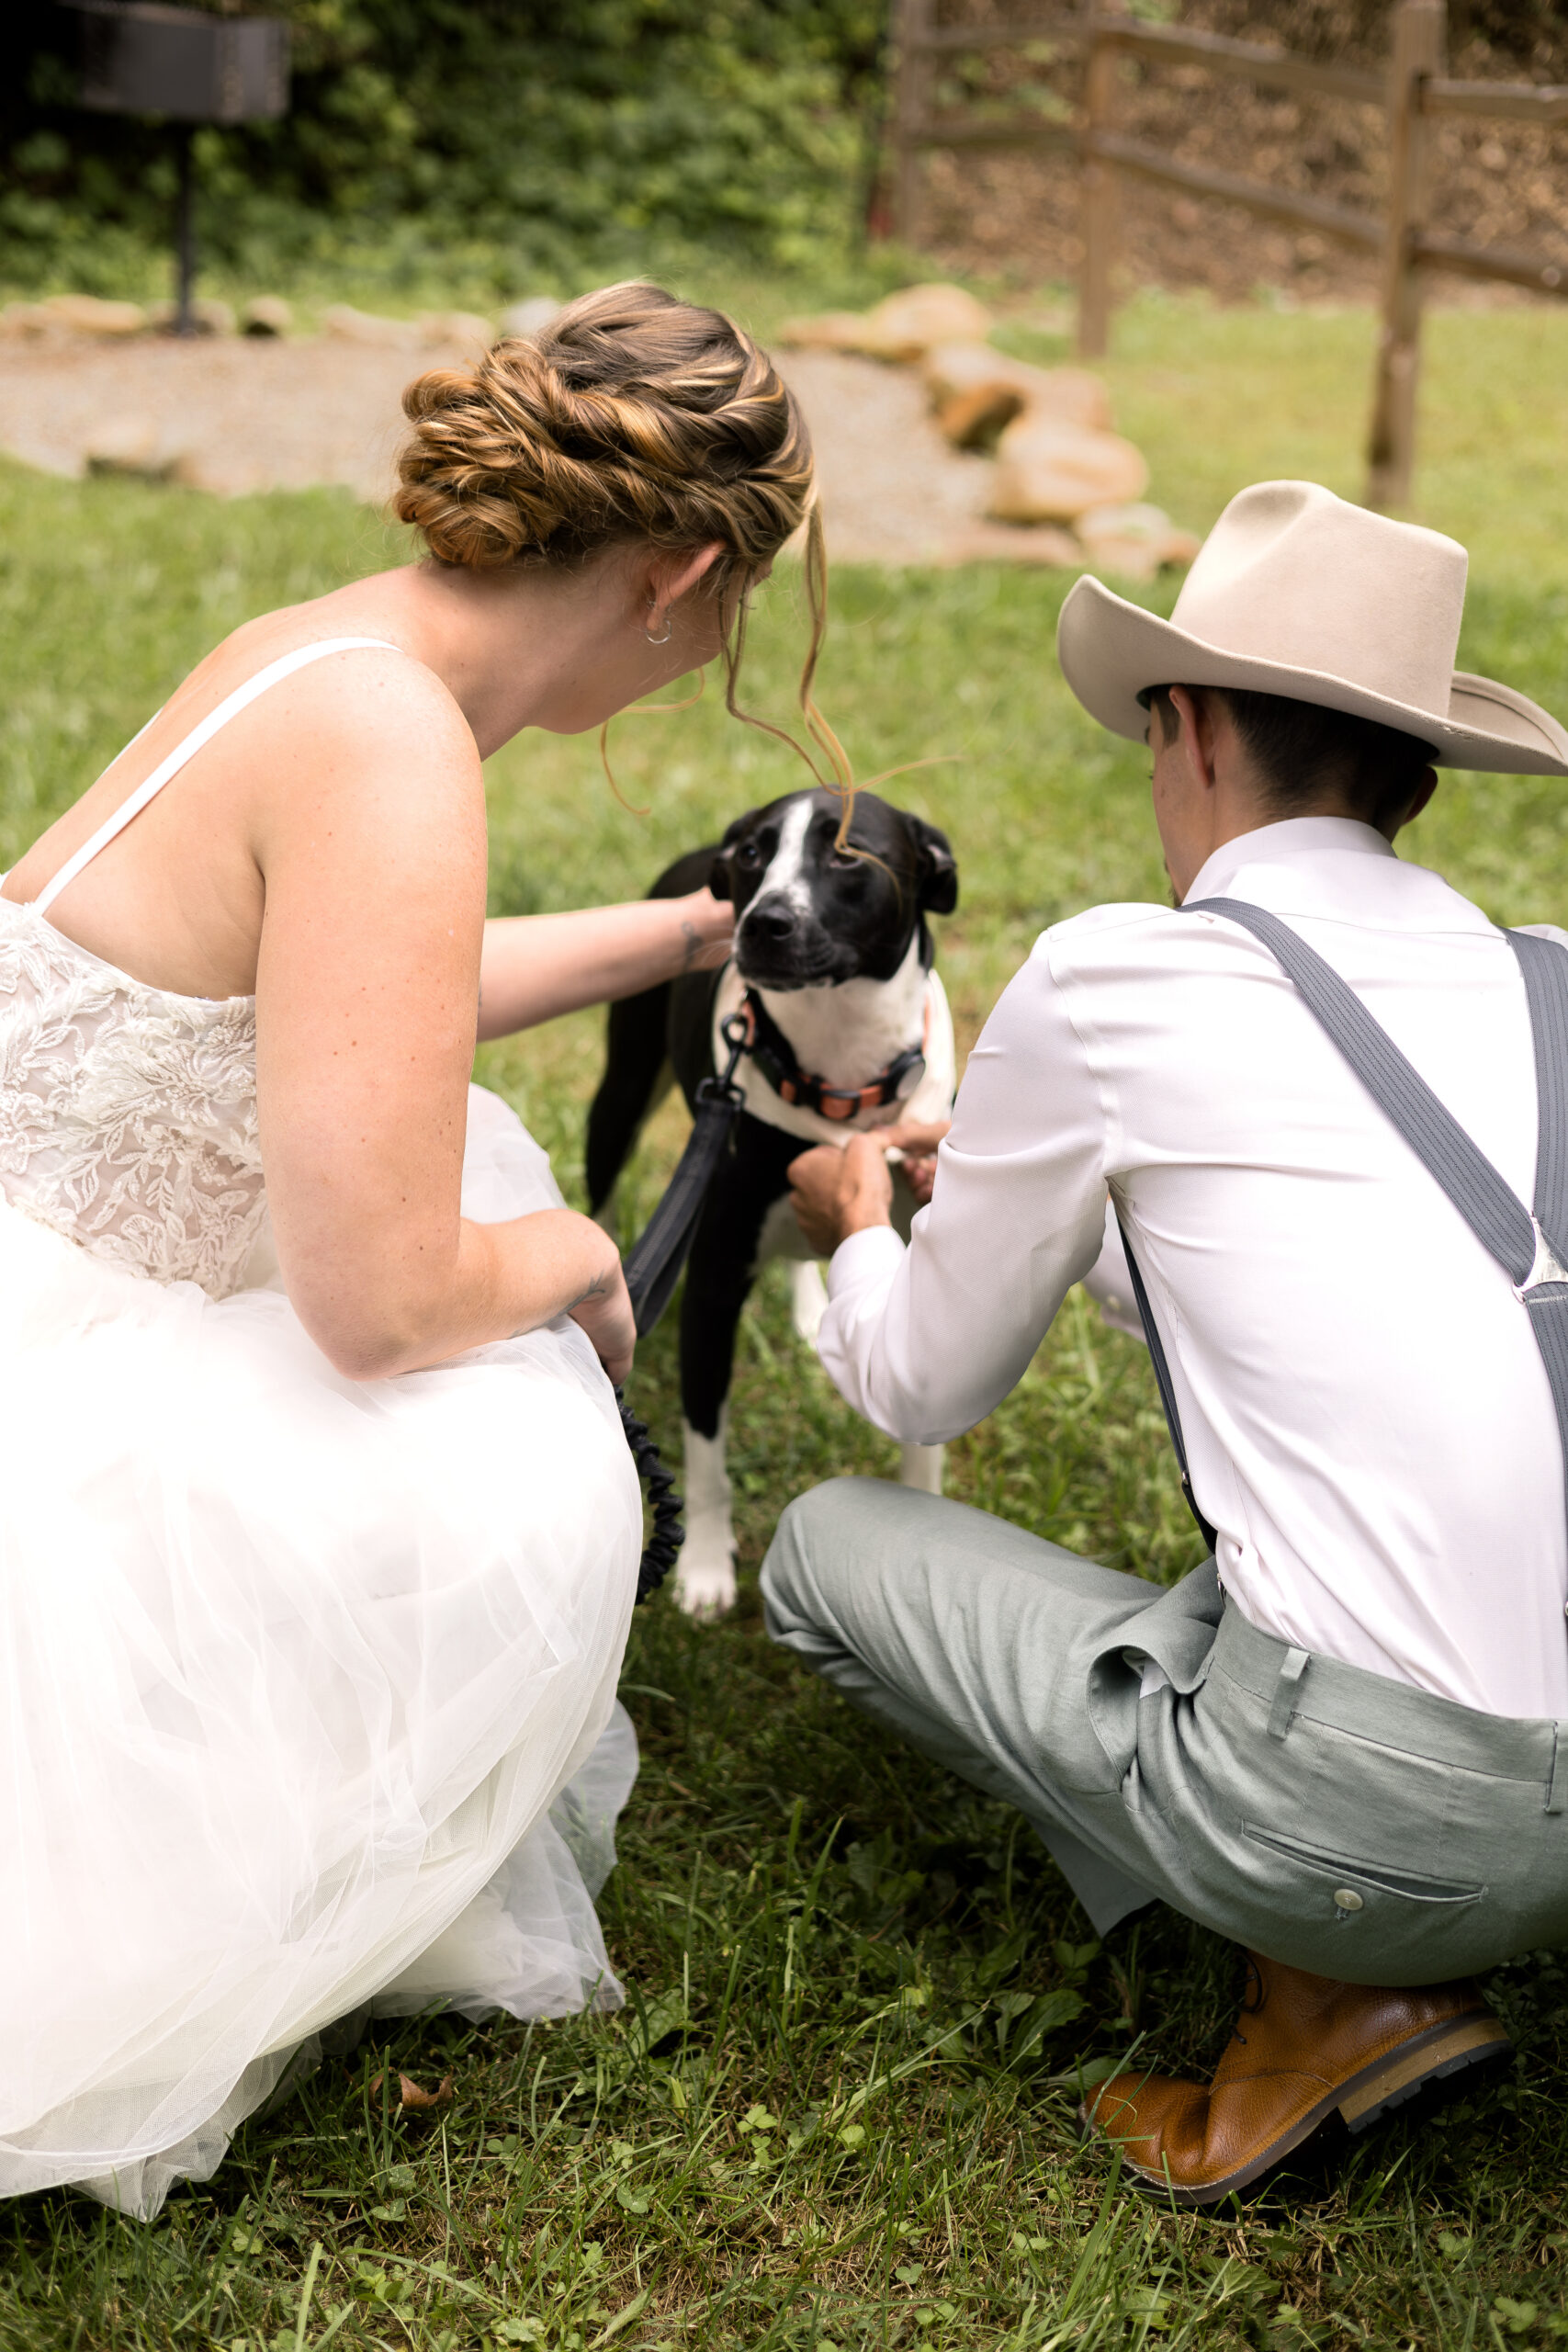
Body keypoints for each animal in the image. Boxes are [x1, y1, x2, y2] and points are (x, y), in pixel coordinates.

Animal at [587, 790, 959, 1618]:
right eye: (754, 854)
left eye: (849, 851)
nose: (762, 920)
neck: (838, 1082)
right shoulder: (712, 1285)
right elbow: (705, 1450)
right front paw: (703, 1569)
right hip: (621, 1093)